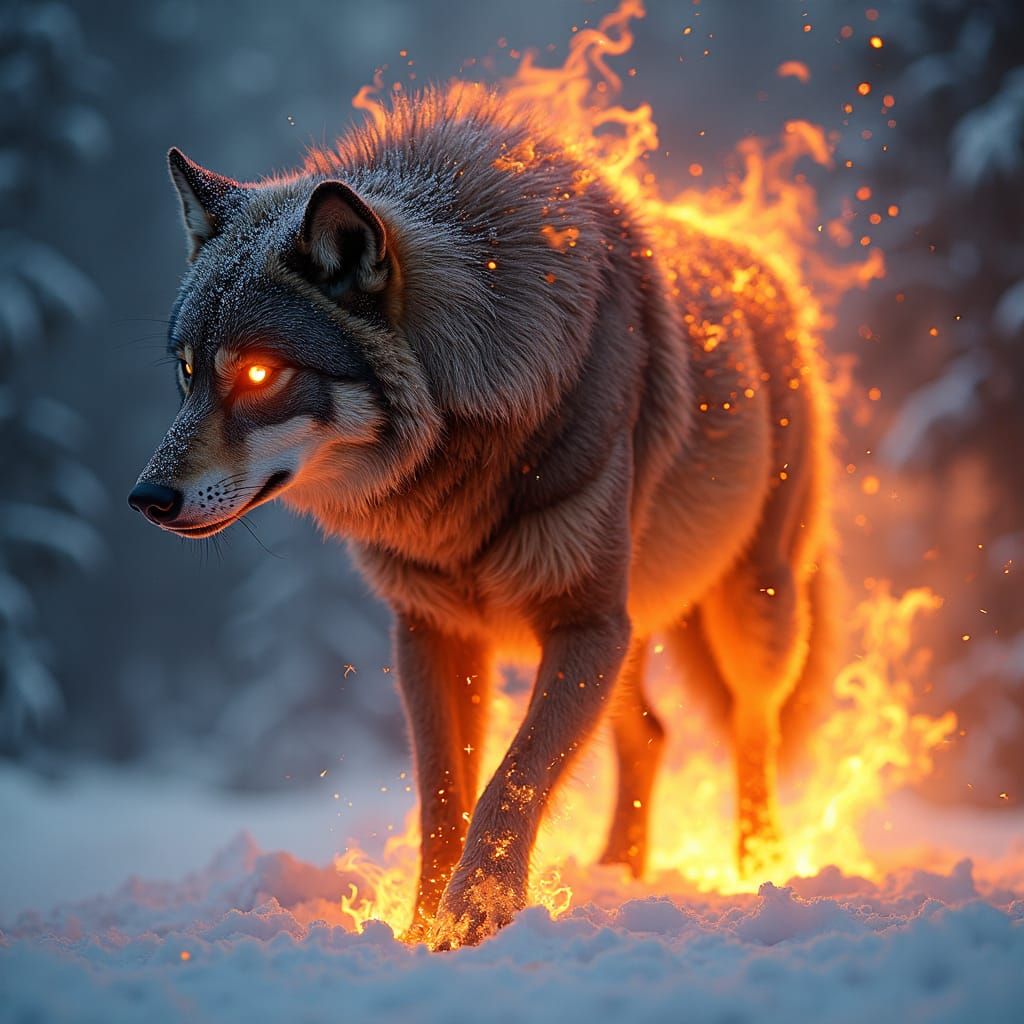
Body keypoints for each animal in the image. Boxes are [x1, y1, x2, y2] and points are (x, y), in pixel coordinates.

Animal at [130, 85, 836, 948]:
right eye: (188, 372)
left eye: (261, 374)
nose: (147, 498)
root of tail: (768, 273)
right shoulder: (432, 630)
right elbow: (443, 798)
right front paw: (419, 928)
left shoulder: (582, 623)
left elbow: (513, 783)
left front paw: (472, 922)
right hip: (632, 634)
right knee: (653, 734)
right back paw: (619, 875)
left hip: (747, 615)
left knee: (751, 729)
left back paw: (758, 868)